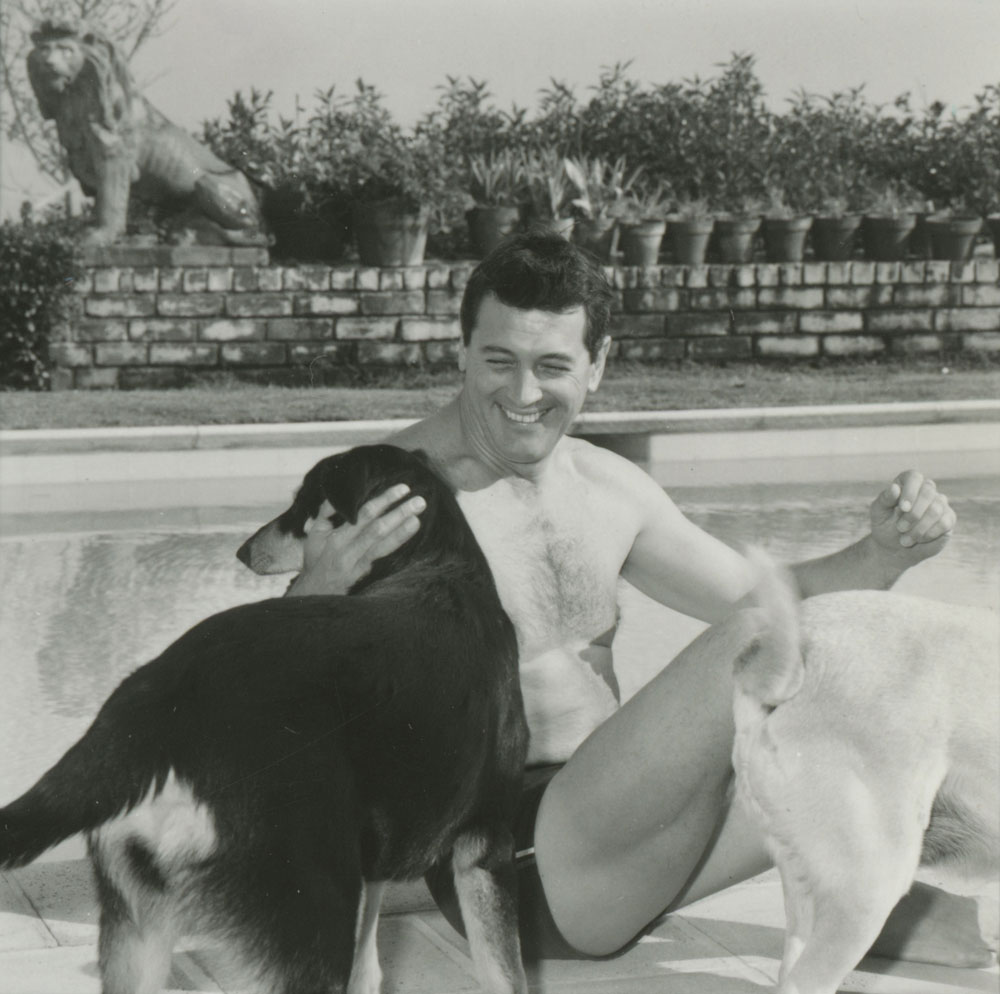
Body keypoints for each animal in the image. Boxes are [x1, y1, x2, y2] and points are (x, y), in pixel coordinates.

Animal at [0, 448, 532, 992]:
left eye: (302, 505)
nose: (241, 552)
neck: (439, 564)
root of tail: (161, 696)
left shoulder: (380, 862)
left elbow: (368, 964)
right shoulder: (486, 846)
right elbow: (505, 974)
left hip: (138, 933)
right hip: (308, 926)